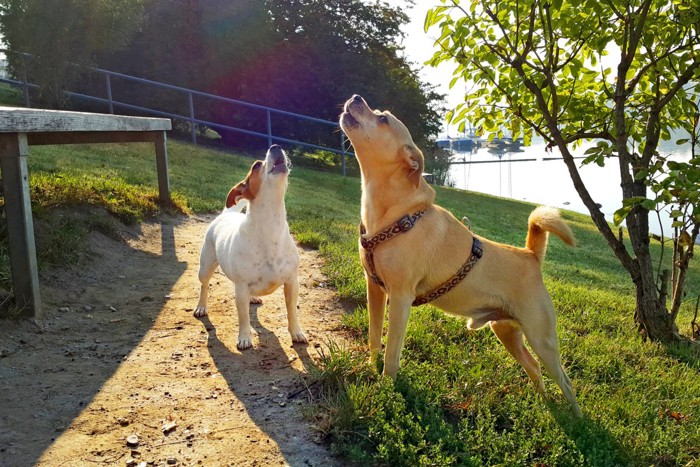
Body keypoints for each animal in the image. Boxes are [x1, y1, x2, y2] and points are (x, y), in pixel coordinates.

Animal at [196, 144, 308, 350]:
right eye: (256, 165)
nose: (276, 145)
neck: (270, 226)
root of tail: (226, 215)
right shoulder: (241, 288)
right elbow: (243, 317)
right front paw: (244, 338)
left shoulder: (292, 283)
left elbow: (292, 312)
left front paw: (296, 333)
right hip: (205, 267)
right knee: (204, 286)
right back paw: (201, 307)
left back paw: (253, 298)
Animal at [340, 93, 580, 414]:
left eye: (382, 119)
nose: (356, 97)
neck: (397, 215)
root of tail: (530, 255)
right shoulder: (375, 290)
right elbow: (374, 336)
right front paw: (370, 367)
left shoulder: (400, 298)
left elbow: (392, 352)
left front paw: (386, 388)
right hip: (506, 332)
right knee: (534, 367)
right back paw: (544, 403)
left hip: (541, 338)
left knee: (565, 381)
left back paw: (578, 421)